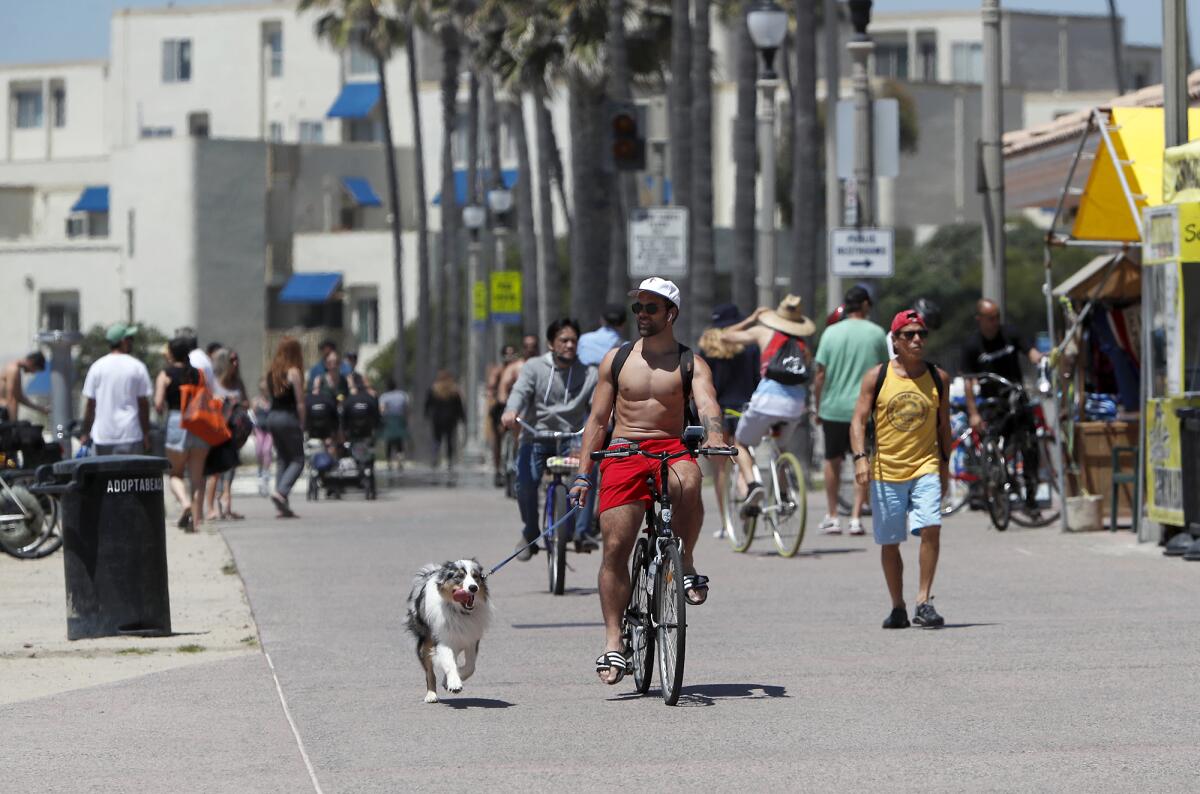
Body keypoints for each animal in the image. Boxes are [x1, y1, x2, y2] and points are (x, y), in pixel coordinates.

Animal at [405, 558, 489, 705]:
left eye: (476, 576)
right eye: (459, 576)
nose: (473, 587)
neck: (459, 611)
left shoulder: (471, 639)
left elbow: (470, 667)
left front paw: (448, 681)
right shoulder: (442, 640)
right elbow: (449, 663)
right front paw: (454, 684)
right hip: (425, 641)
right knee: (429, 672)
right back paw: (431, 695)